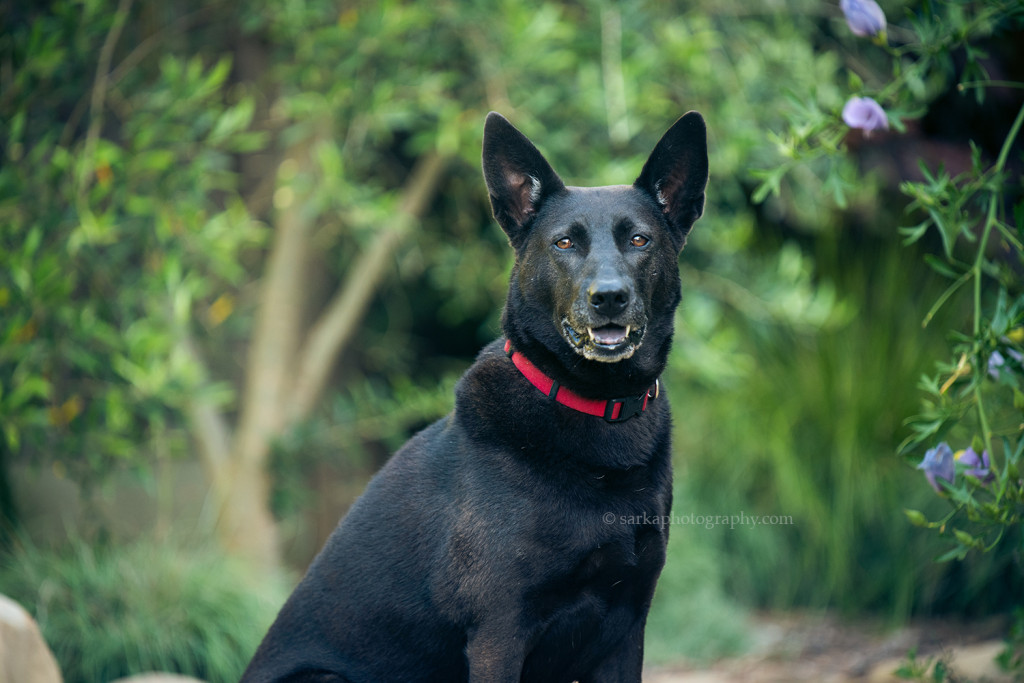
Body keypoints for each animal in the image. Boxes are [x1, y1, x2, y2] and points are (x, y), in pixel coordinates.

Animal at [243, 112, 708, 683]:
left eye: (639, 240)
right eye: (564, 244)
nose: (609, 298)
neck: (599, 407)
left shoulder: (626, 627)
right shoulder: (499, 633)